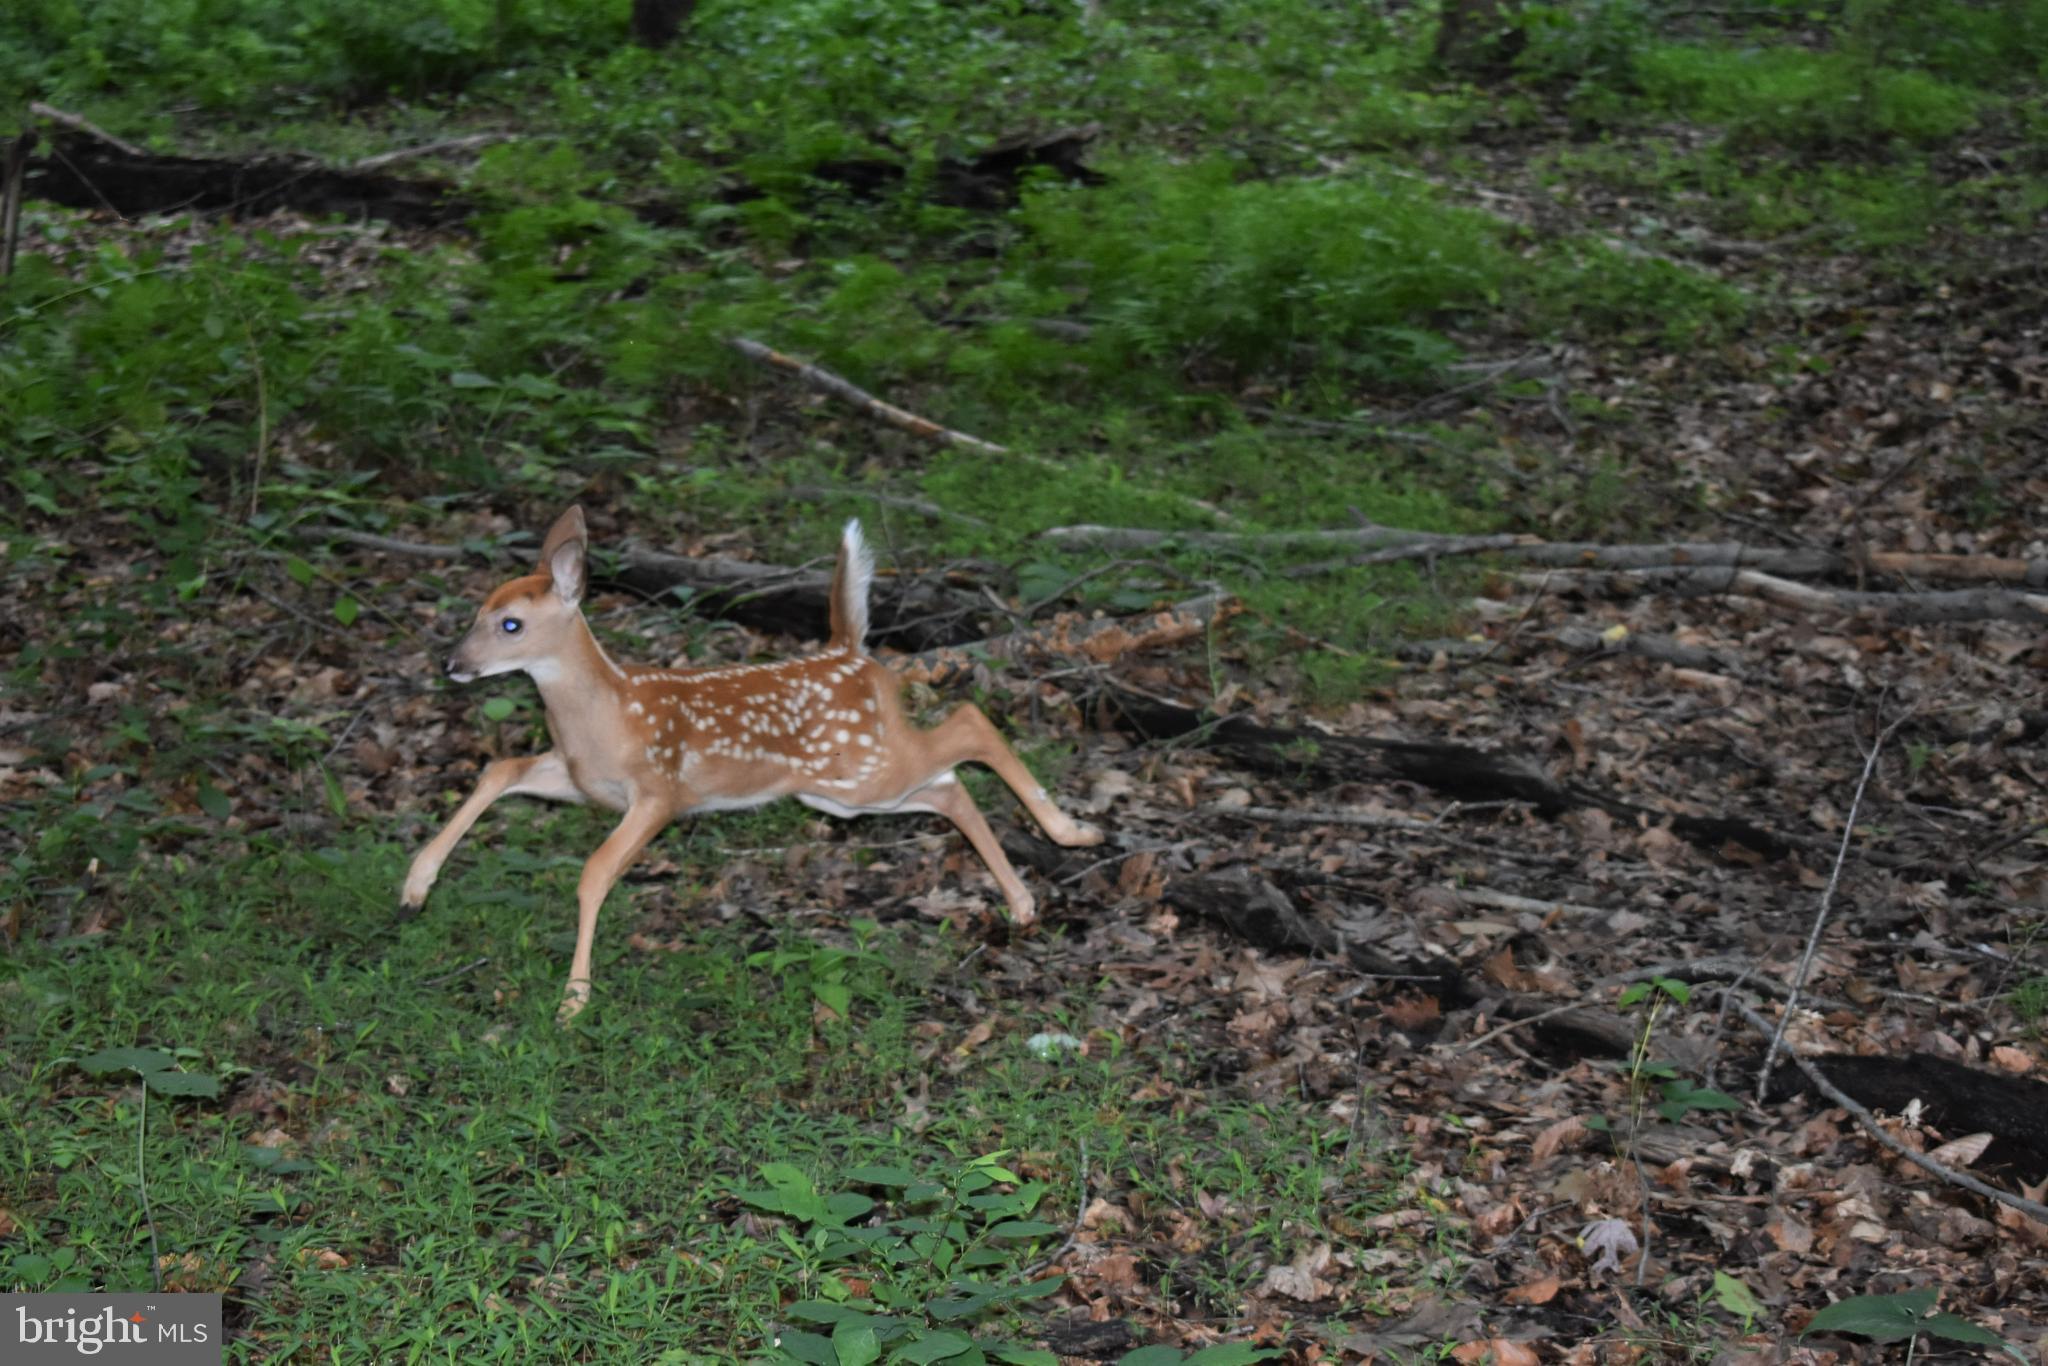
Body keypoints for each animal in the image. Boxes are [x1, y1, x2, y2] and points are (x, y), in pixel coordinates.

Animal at [401, 506, 1104, 1022]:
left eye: (511, 624)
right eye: (477, 610)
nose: (451, 664)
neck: (605, 716)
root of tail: (851, 652)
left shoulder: (660, 790)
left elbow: (595, 870)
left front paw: (573, 1002)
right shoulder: (581, 782)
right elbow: (499, 769)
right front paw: (415, 887)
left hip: (863, 767)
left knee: (969, 724)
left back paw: (1072, 833)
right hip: (845, 788)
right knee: (950, 785)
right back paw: (1023, 901)